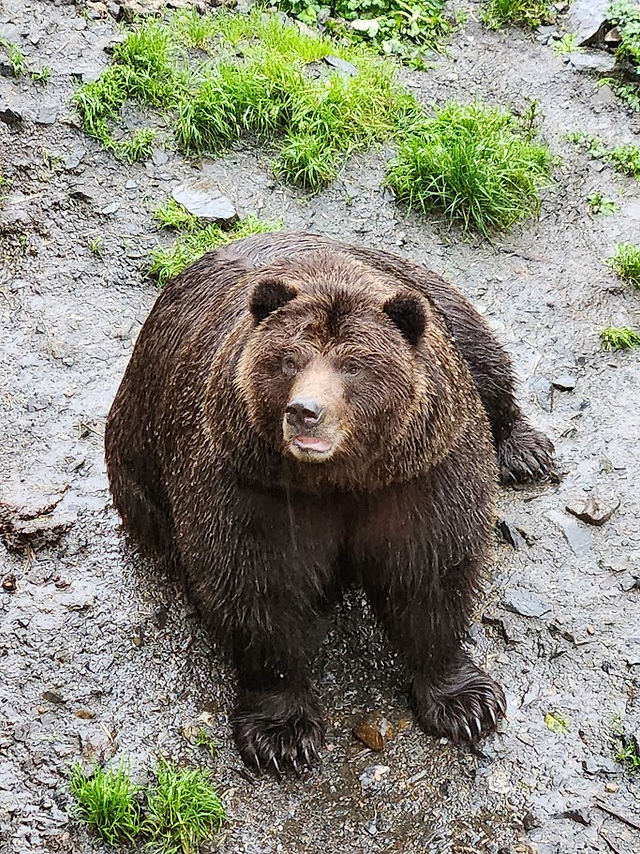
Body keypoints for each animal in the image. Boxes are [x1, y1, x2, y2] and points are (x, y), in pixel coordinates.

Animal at [105, 232, 553, 775]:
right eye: (289, 360)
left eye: (354, 365)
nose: (305, 412)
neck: (340, 477)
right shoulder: (255, 489)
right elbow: (262, 590)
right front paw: (282, 735)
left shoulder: (419, 477)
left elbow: (430, 573)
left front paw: (466, 703)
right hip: (140, 457)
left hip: (434, 301)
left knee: (483, 354)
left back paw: (524, 450)